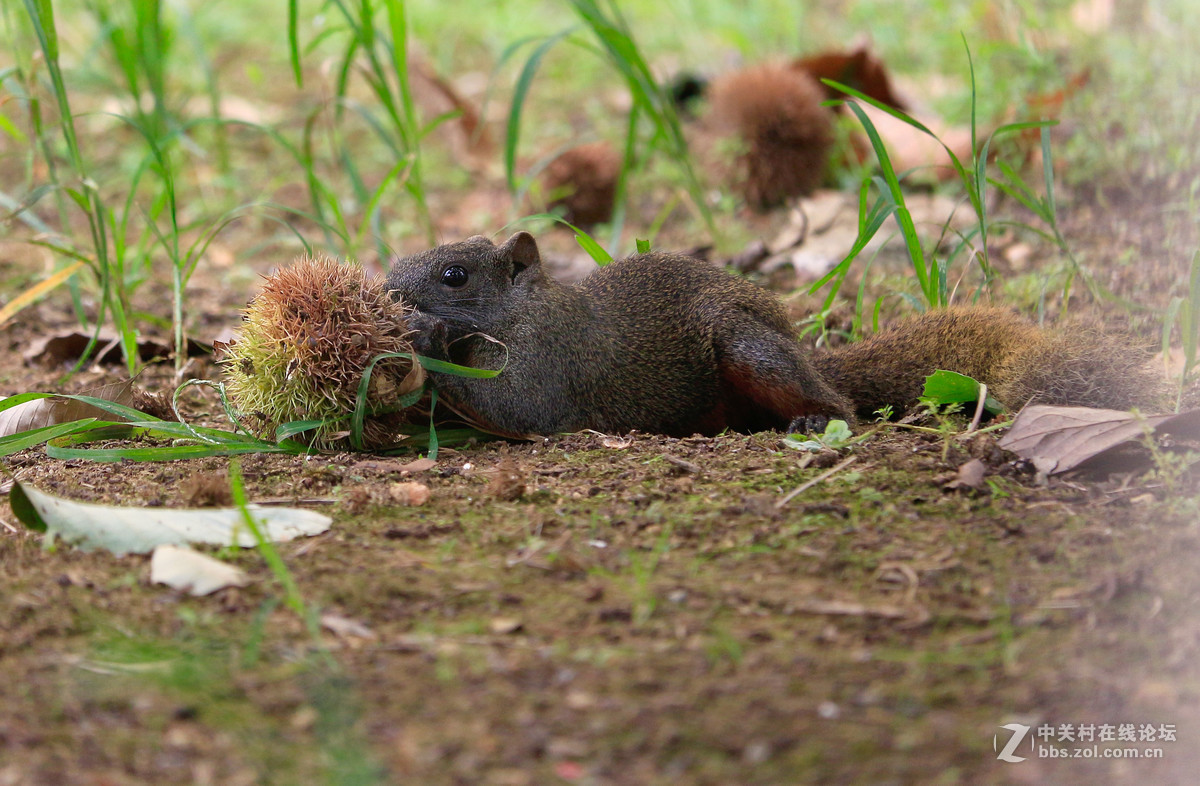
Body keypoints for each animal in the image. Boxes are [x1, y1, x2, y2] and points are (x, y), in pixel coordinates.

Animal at [384, 234, 1161, 439]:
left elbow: (513, 410)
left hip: (748, 348)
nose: (389, 291)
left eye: (454, 274)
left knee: (843, 408)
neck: (522, 311)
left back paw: (817, 419)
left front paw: (418, 340)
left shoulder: (549, 363)